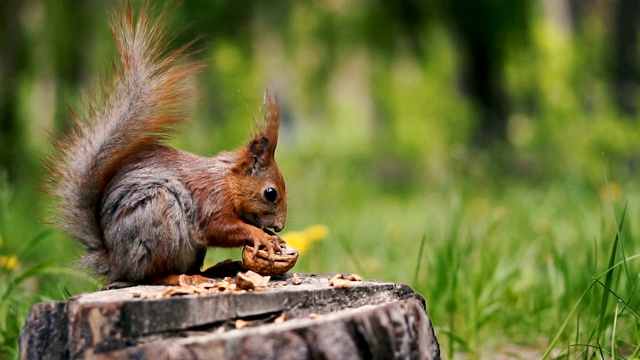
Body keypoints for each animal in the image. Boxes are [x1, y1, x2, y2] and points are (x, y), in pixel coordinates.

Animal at [45, 2, 284, 286]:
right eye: (270, 193)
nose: (280, 226)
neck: (227, 181)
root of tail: (117, 264)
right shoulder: (210, 200)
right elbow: (218, 228)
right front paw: (260, 235)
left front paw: (270, 236)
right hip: (159, 214)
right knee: (154, 274)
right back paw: (178, 277)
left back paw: (219, 268)